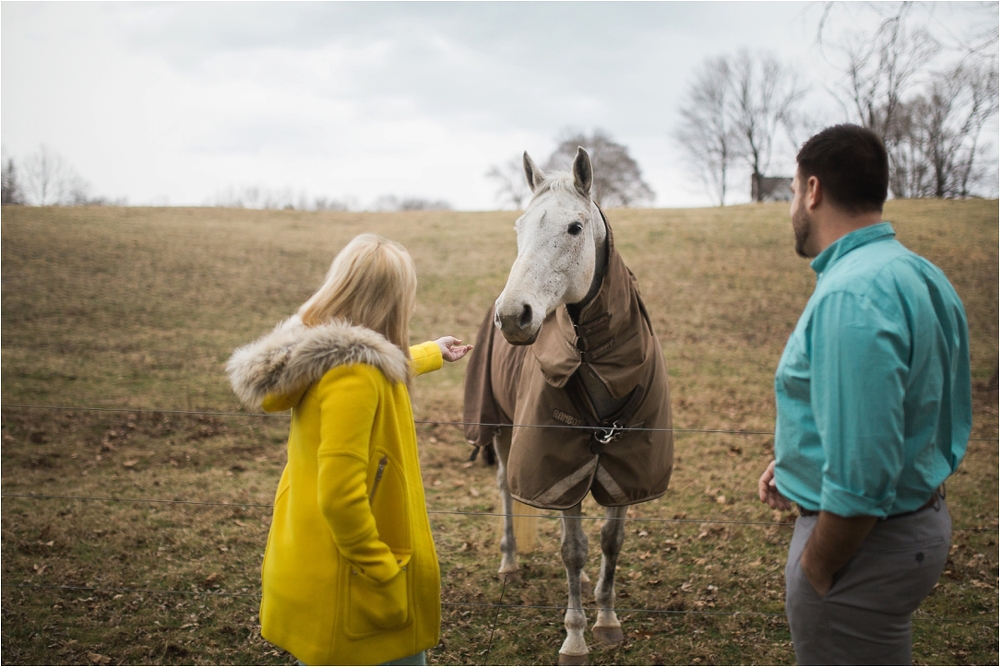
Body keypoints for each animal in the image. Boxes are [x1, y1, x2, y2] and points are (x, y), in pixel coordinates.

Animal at [466, 149, 672, 664]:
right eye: (519, 226)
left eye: (575, 228)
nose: (511, 316)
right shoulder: (561, 469)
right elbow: (573, 549)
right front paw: (575, 637)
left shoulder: (627, 467)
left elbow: (611, 542)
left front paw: (608, 620)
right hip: (500, 429)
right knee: (504, 488)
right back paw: (509, 561)